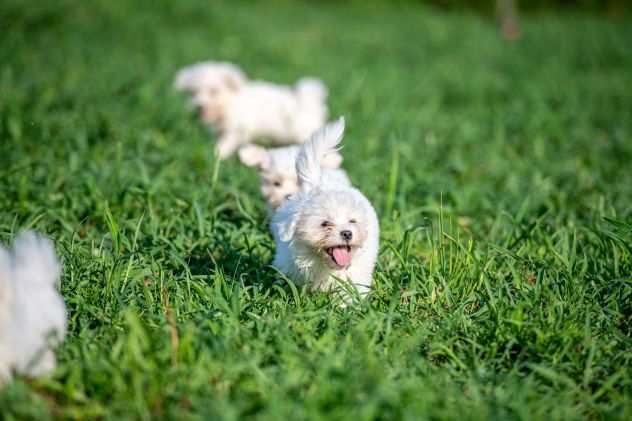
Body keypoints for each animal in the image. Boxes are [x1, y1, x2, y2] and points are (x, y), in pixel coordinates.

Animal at [175, 62, 328, 159]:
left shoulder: (237, 129)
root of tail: (309, 102)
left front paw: (218, 154)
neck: (230, 102)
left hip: (303, 132)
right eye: (193, 93)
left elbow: (225, 143)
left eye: (214, 91)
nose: (198, 105)